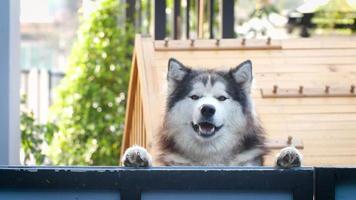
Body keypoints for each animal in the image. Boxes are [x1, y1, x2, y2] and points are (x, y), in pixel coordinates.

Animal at [121, 58, 302, 169]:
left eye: (221, 98)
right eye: (195, 97)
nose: (207, 108)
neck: (209, 158)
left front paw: (287, 156)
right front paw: (139, 155)